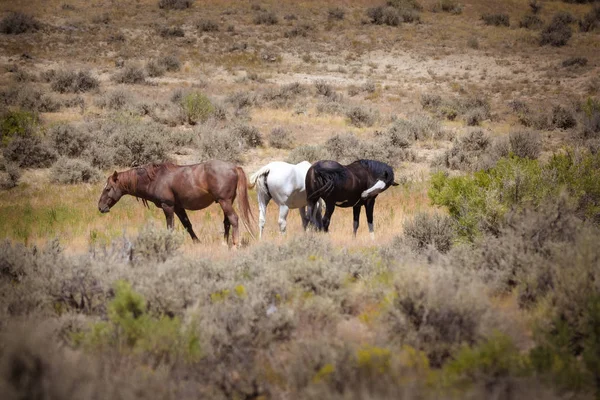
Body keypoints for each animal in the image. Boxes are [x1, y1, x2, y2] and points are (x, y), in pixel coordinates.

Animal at [98, 159, 255, 247]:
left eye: (108, 188)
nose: (100, 207)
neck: (155, 178)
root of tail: (234, 167)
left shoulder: (168, 206)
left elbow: (170, 227)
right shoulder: (179, 207)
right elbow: (187, 225)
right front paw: (197, 242)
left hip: (225, 202)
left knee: (233, 219)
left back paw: (235, 244)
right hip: (226, 202)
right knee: (227, 221)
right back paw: (224, 243)